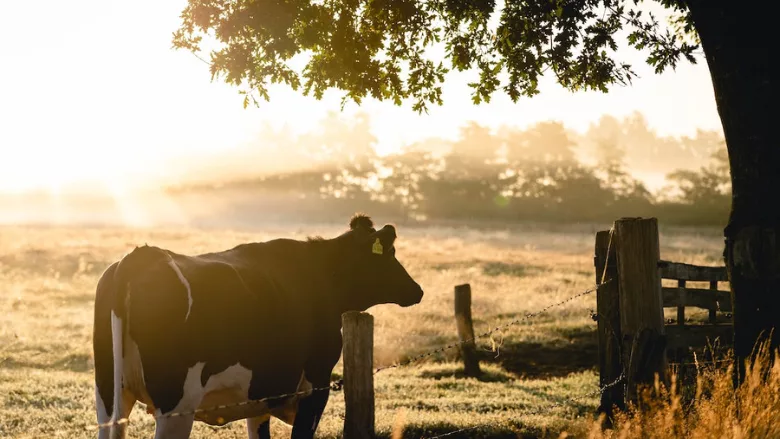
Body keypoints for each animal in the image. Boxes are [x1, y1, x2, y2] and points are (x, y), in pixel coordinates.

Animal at [92, 214, 424, 439]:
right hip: (176, 405)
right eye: (390, 254)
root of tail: (142, 256)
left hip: (109, 395)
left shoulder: (261, 395)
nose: (417, 290)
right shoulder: (315, 386)